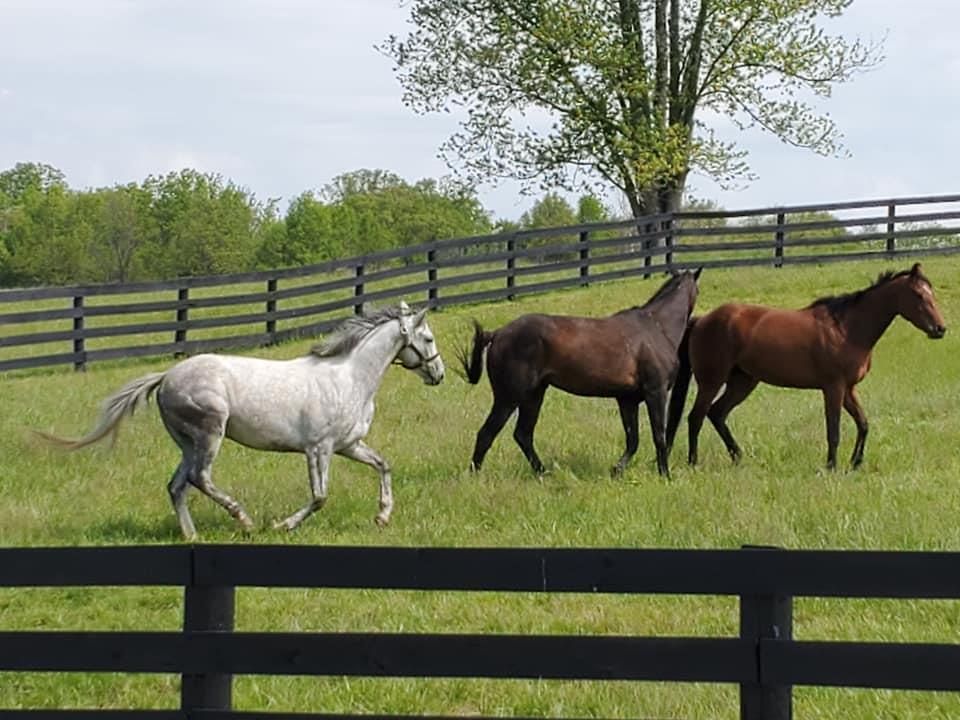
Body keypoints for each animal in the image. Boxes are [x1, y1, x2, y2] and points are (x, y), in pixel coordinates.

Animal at [38, 302, 445, 539]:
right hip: (209, 433)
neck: (347, 377)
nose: (438, 374)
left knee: (177, 486)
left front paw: (383, 517)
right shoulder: (319, 449)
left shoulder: (349, 445)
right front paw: (281, 525)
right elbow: (319, 497)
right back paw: (244, 520)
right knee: (200, 479)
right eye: (427, 337)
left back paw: (192, 536)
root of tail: (167, 376)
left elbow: (383, 466)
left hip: (187, 442)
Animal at [459, 269, 701, 478]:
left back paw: (543, 473)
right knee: (487, 433)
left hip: (534, 395)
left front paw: (616, 470)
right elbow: (659, 436)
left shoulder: (627, 399)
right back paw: (475, 476)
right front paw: (665, 475)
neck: (656, 328)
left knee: (523, 434)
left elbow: (632, 440)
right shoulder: (655, 392)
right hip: (509, 397)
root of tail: (497, 333)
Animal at [666, 263, 946, 470]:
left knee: (717, 414)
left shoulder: (848, 389)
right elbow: (833, 429)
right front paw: (831, 466)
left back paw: (738, 457)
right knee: (696, 417)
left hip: (743, 381)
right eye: (918, 295)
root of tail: (702, 320)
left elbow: (863, 424)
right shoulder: (833, 388)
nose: (940, 329)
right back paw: (694, 462)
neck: (847, 329)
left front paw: (855, 463)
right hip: (712, 381)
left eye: (932, 294)